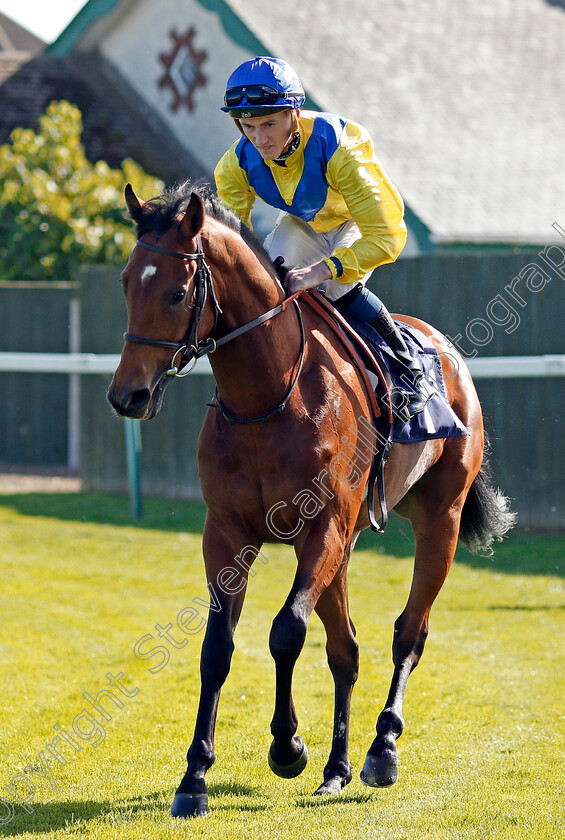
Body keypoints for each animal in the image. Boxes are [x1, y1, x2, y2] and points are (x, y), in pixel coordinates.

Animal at [107, 180, 516, 816]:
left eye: (176, 293)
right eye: (127, 281)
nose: (127, 395)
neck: (268, 395)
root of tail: (446, 351)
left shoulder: (321, 528)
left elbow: (286, 631)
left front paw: (287, 745)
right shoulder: (226, 532)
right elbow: (218, 647)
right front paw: (194, 777)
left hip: (438, 520)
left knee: (409, 632)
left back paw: (381, 749)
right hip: (345, 550)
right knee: (346, 648)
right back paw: (337, 767)